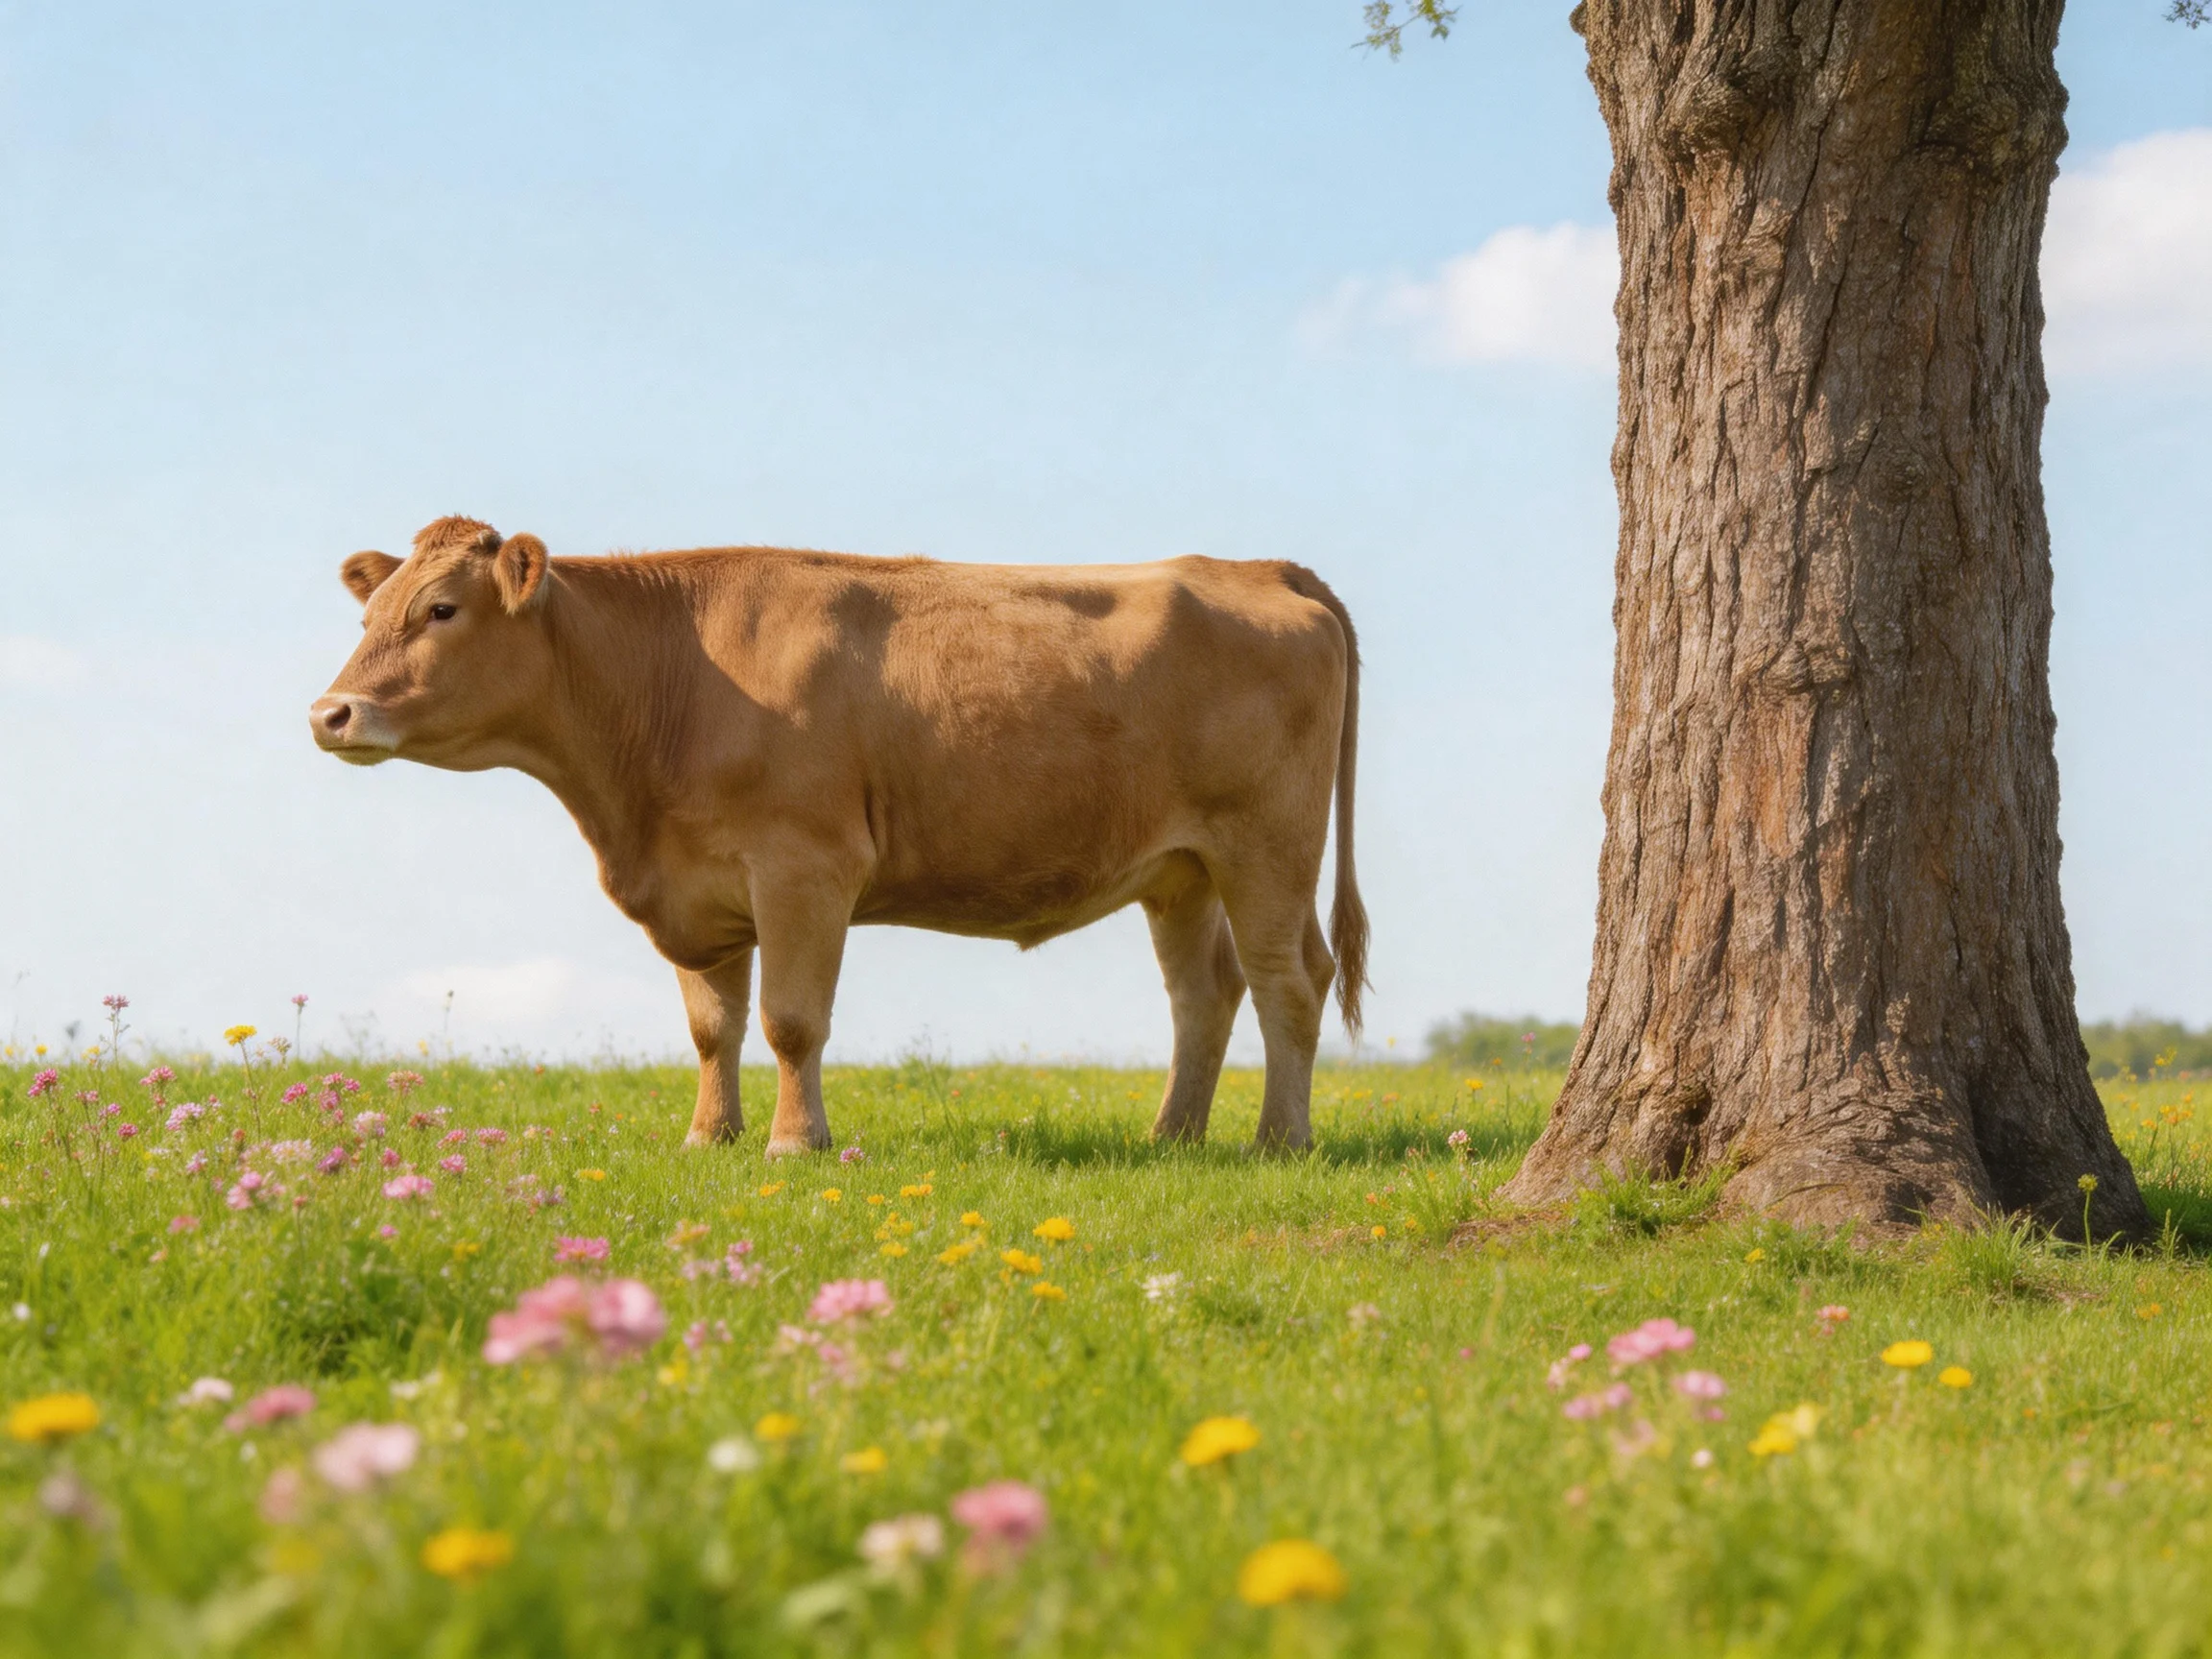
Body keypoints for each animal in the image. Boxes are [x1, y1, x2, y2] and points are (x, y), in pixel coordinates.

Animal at [310, 516, 1367, 1157]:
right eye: (369, 613)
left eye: (441, 609)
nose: (331, 713)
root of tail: (1256, 568)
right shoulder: (700, 892)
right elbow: (712, 1027)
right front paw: (710, 1137)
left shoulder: (804, 868)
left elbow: (790, 1020)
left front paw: (794, 1142)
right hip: (1180, 868)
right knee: (1205, 993)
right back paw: (1171, 1138)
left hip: (1268, 847)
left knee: (1290, 980)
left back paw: (1279, 1141)